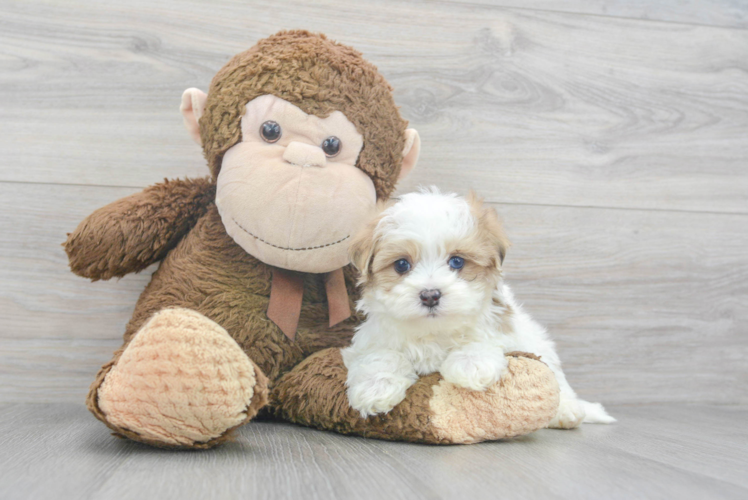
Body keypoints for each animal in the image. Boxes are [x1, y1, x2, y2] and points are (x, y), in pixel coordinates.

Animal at [342, 188, 616, 430]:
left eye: (456, 262)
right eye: (401, 265)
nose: (430, 295)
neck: (434, 330)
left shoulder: (502, 326)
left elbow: (483, 338)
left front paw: (470, 365)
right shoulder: (371, 340)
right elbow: (380, 355)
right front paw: (376, 387)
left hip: (539, 344)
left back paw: (567, 410)